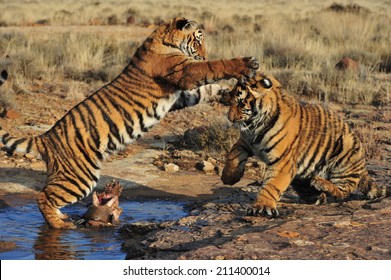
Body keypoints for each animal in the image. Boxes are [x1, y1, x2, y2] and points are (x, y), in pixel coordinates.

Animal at [0, 17, 260, 228]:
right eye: (198, 41)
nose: (203, 54)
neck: (162, 37)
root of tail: (46, 137)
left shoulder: (181, 94)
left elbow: (208, 89)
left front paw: (229, 94)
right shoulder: (184, 72)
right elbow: (213, 68)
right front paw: (245, 64)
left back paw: (61, 217)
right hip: (79, 177)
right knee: (43, 197)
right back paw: (60, 224)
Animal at [222, 71, 388, 217]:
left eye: (241, 104)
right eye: (230, 102)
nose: (229, 118)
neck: (255, 126)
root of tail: (363, 166)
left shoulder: (283, 162)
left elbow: (271, 186)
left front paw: (261, 207)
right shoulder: (244, 141)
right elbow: (233, 155)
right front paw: (229, 178)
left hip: (345, 153)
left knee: (344, 190)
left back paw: (320, 183)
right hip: (301, 178)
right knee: (319, 197)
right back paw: (318, 194)